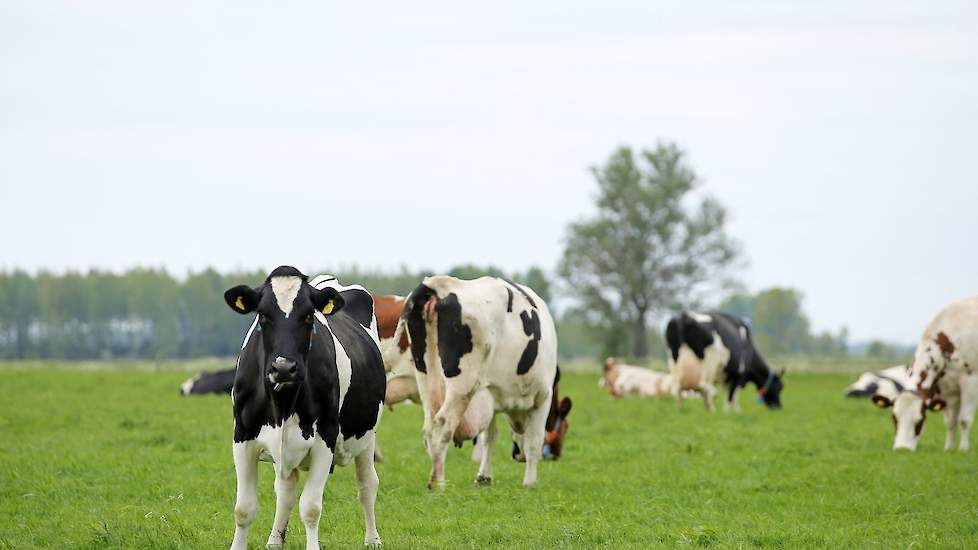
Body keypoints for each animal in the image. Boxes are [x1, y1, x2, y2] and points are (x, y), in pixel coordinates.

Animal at [224, 266, 386, 548]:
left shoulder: (325, 438)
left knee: (367, 483)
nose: (284, 367)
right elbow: (243, 509)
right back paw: (274, 541)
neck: (283, 404)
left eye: (309, 315)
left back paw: (372, 539)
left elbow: (310, 508)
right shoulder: (242, 435)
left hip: (367, 435)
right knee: (285, 491)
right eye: (262, 316)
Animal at [398, 278, 556, 490]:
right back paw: (438, 483)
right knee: (443, 424)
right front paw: (530, 483)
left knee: (430, 428)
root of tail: (436, 284)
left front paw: (484, 476)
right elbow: (534, 442)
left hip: (425, 378)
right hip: (461, 387)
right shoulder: (543, 397)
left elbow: (489, 437)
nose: (516, 454)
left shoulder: (491, 393)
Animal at [868, 298, 976, 452]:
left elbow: (964, 420)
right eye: (894, 419)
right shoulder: (947, 389)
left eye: (919, 421)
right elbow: (950, 421)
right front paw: (949, 449)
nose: (902, 449)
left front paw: (963, 450)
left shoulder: (970, 381)